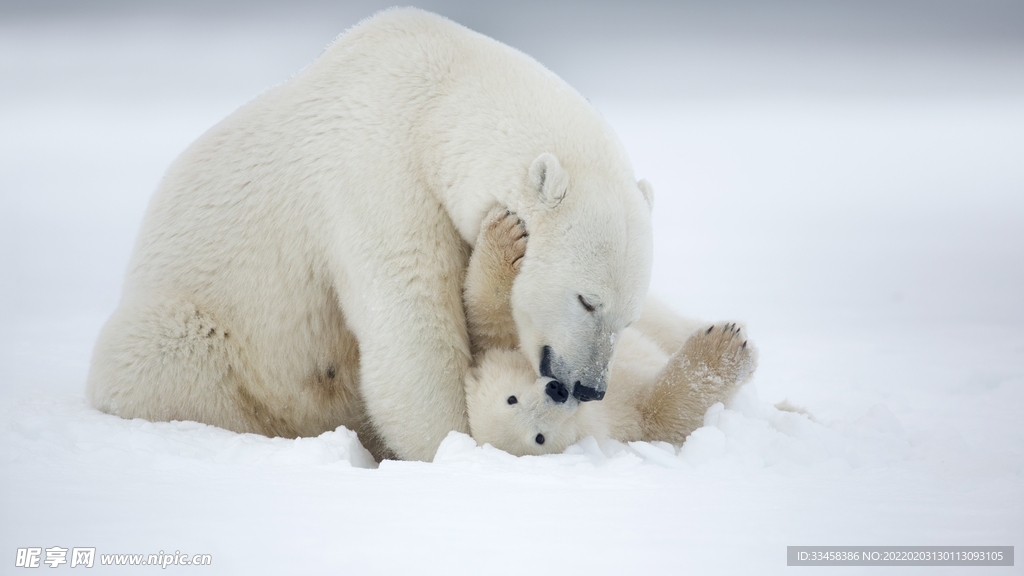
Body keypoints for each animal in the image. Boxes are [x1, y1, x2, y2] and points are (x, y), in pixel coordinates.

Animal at [83, 7, 651, 461]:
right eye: (586, 300)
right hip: (202, 332)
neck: (437, 99)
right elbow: (412, 327)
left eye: (627, 317)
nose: (589, 387)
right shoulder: (378, 177)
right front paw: (455, 446)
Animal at [460, 208, 757, 455]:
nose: (557, 391)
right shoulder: (622, 420)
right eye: (538, 437)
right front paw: (724, 347)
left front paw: (507, 232)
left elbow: (491, 317)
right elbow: (664, 413)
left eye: (511, 398)